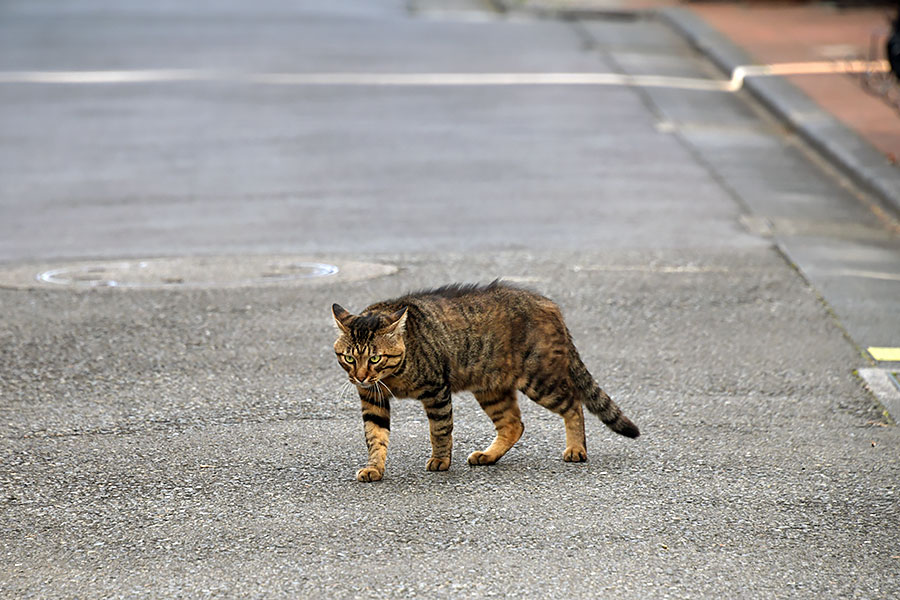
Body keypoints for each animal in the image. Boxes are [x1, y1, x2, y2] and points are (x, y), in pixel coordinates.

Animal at [332, 282, 640, 482]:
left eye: (374, 358)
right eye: (349, 358)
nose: (359, 376)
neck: (392, 378)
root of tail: (549, 304)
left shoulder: (436, 390)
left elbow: (440, 430)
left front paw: (441, 460)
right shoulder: (372, 400)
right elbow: (375, 436)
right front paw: (374, 468)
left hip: (540, 381)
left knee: (574, 404)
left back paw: (576, 449)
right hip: (491, 388)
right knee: (513, 424)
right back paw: (489, 456)